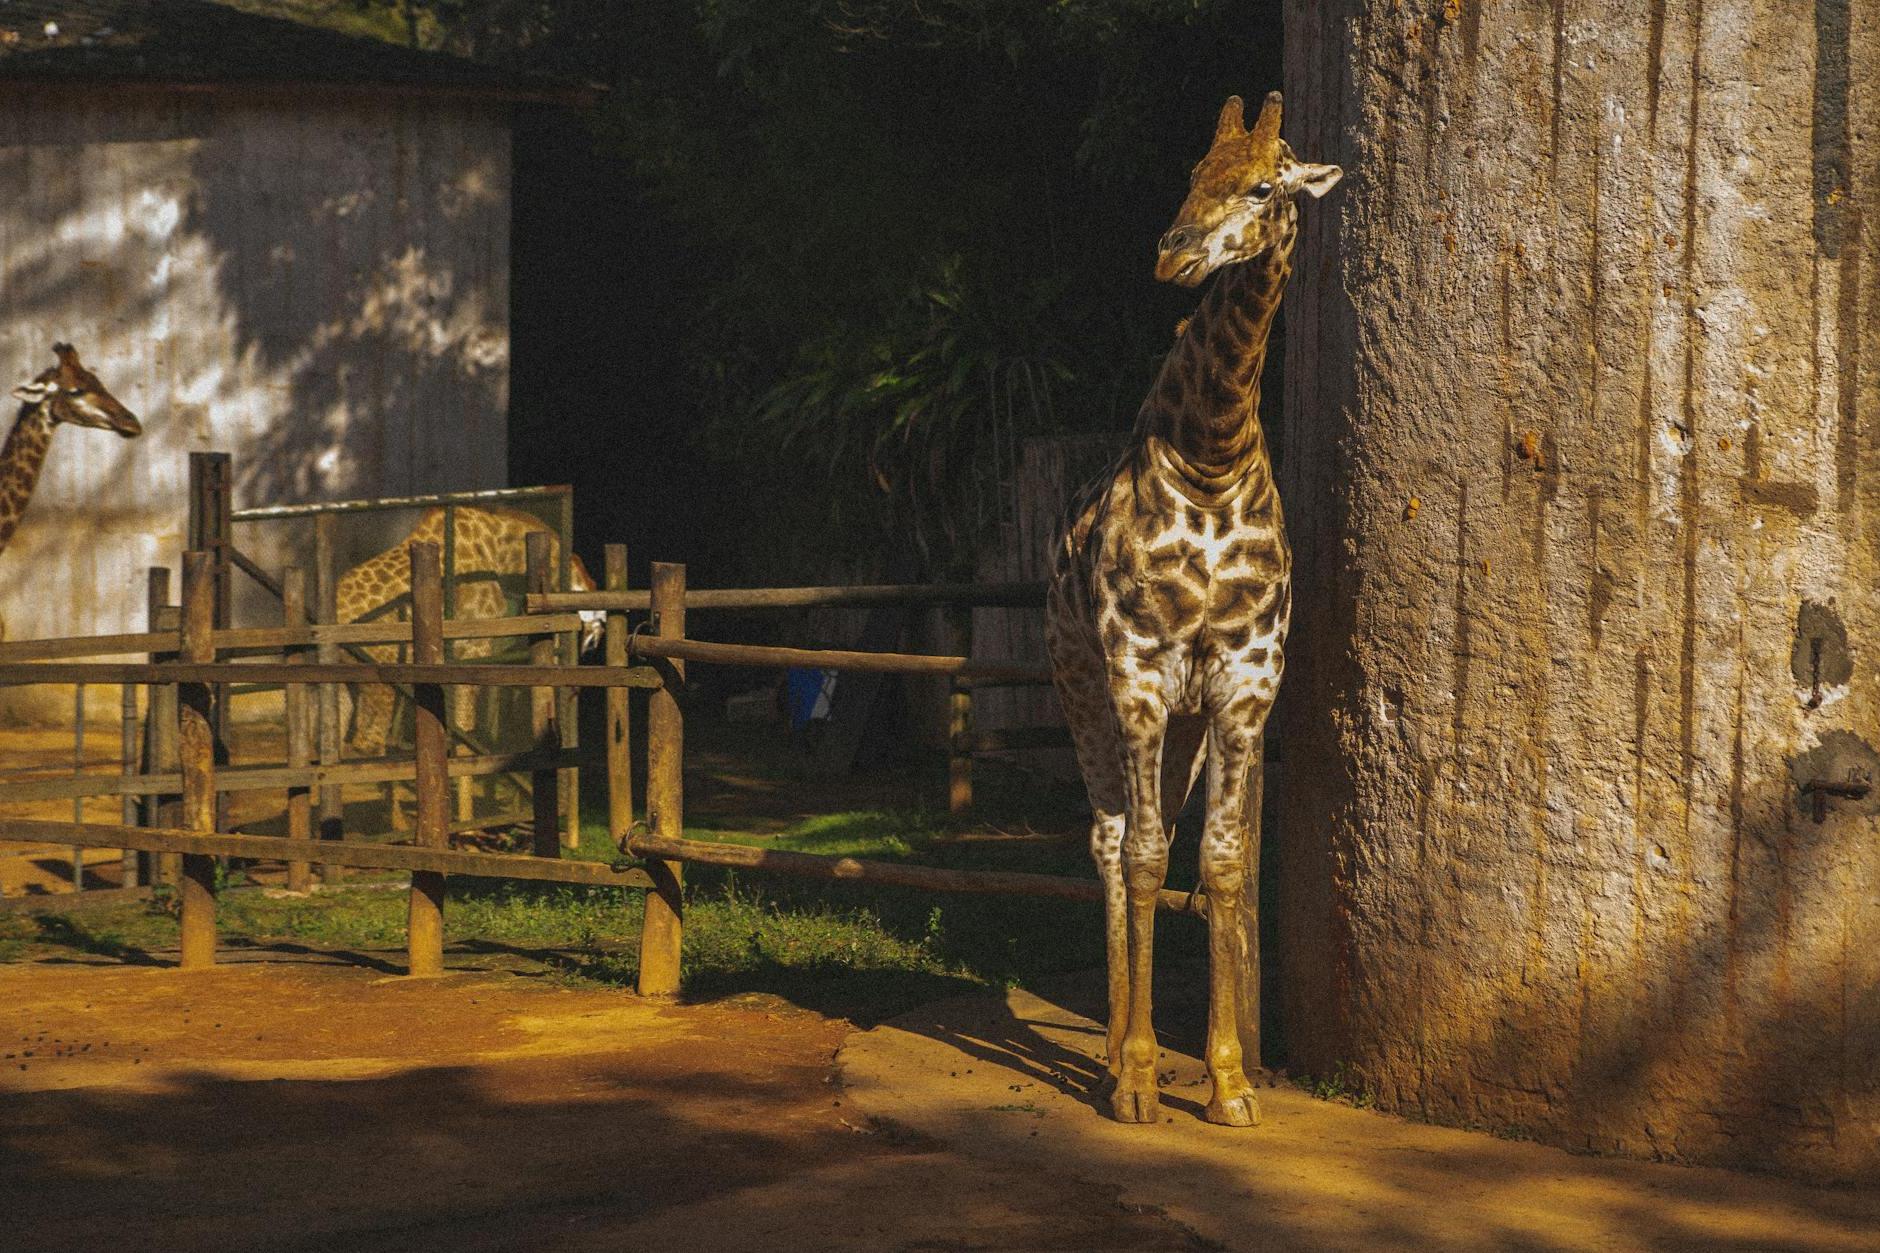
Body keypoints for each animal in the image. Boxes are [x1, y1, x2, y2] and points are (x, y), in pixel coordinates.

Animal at [1045, 90, 1338, 1121]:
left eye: (1261, 186)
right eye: (1190, 172)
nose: (1172, 253)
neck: (1212, 459)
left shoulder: (1247, 685)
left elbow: (1216, 863)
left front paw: (1228, 1082)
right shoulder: (1136, 671)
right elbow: (1139, 856)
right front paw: (1138, 1076)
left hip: (1184, 725)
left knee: (1160, 839)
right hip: (1085, 691)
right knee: (1110, 840)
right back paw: (1107, 1058)